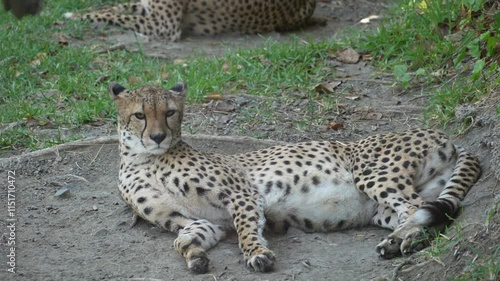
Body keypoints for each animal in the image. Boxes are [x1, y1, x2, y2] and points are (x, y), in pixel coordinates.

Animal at [108, 82, 480, 272]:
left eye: (170, 112)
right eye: (140, 115)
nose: (158, 136)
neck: (143, 157)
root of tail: (445, 135)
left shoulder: (243, 195)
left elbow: (246, 230)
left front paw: (257, 253)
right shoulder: (199, 220)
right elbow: (182, 239)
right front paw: (195, 255)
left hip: (371, 173)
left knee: (416, 207)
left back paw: (407, 240)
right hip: (384, 208)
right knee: (422, 211)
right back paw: (397, 240)